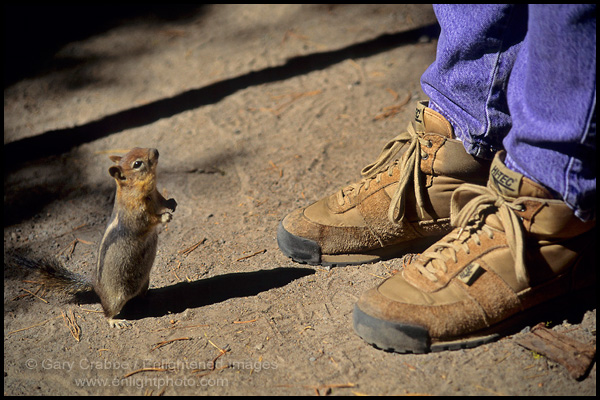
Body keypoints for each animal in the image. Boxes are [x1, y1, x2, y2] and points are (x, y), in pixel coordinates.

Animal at [12, 147, 176, 328]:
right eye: (137, 164)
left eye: (137, 148)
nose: (155, 150)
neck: (140, 190)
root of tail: (95, 285)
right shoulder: (136, 215)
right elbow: (148, 221)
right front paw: (164, 217)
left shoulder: (156, 196)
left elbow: (162, 202)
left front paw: (171, 203)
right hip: (116, 297)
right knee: (107, 311)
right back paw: (115, 321)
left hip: (144, 281)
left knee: (140, 294)